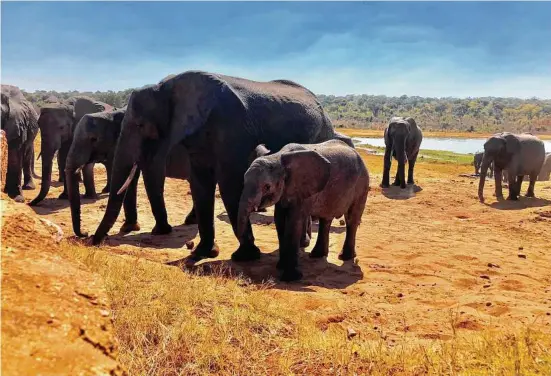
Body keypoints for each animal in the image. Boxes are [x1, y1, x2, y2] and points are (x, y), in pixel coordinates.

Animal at [93, 70, 336, 264]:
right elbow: (200, 183)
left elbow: (230, 184)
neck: (167, 86)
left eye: (141, 125)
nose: (92, 241)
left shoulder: (231, 128)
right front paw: (203, 252)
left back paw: (303, 244)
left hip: (323, 134)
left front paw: (245, 256)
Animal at [237, 140, 370, 280]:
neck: (277, 157)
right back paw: (317, 255)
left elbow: (294, 222)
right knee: (325, 219)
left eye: (267, 186)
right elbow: (279, 220)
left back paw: (345, 257)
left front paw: (291, 278)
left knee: (351, 219)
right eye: (244, 181)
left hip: (362, 184)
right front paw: (280, 266)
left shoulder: (303, 190)